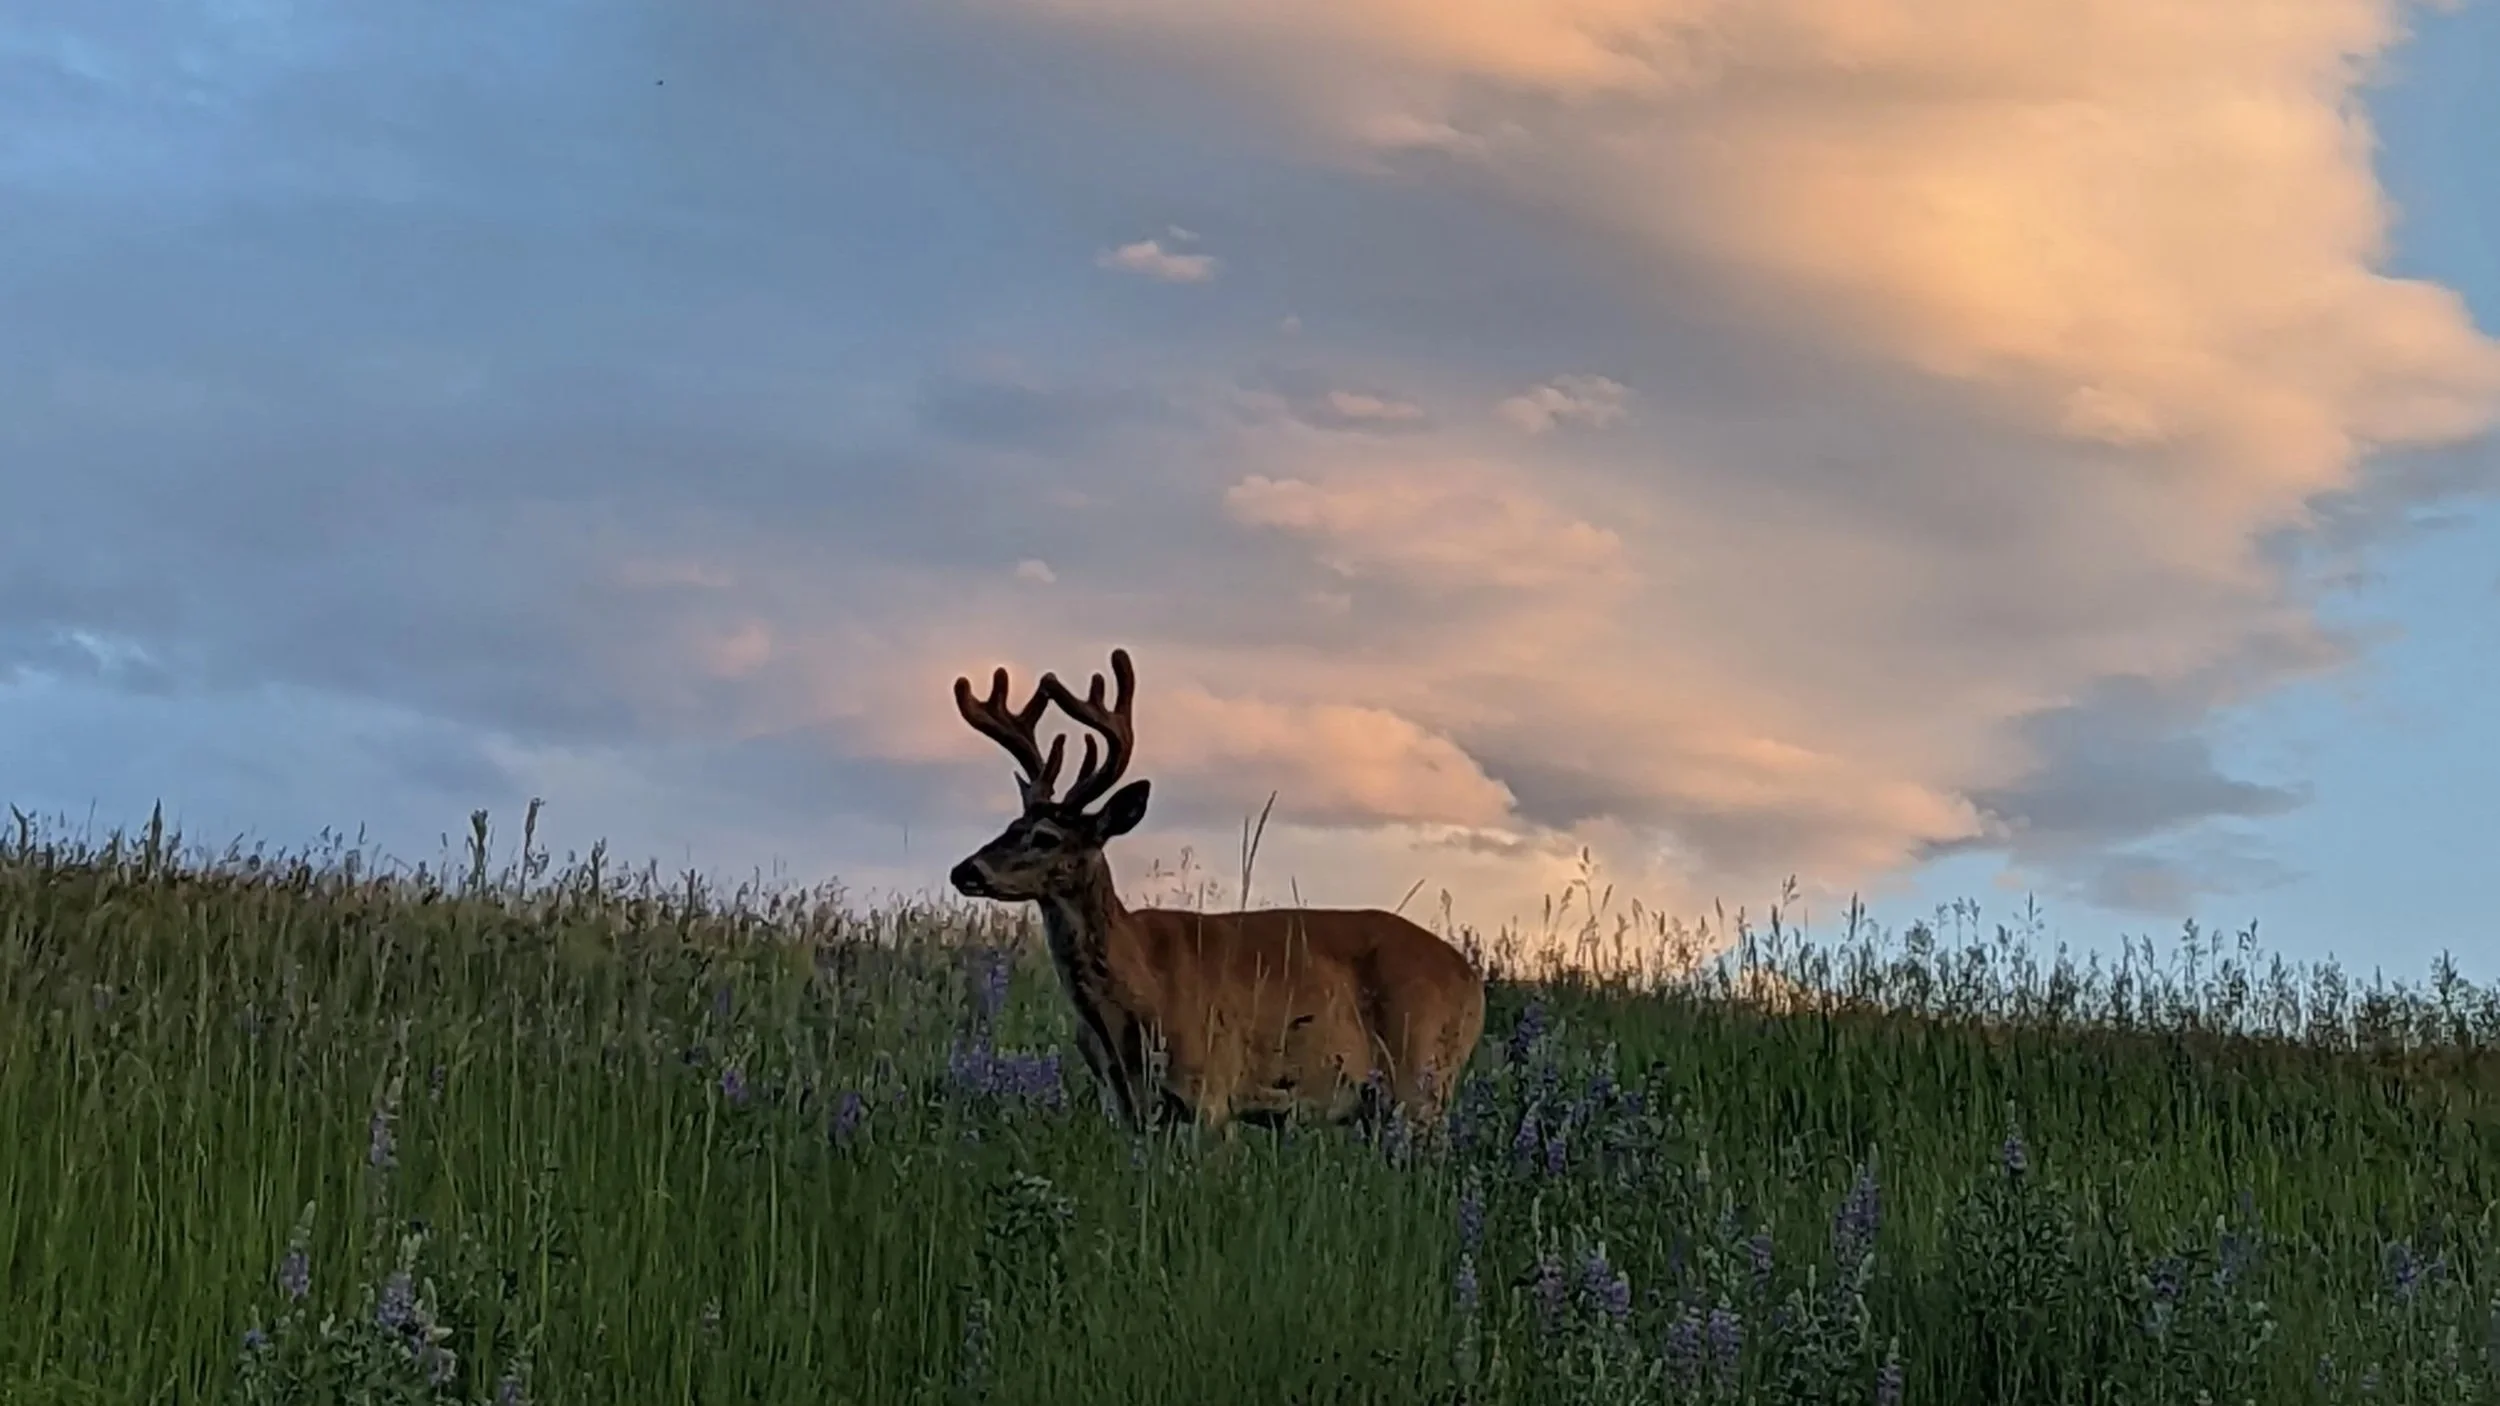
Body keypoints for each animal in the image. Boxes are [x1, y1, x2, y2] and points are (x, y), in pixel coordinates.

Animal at [946, 647, 1488, 1136]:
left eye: (1045, 837)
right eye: (1011, 825)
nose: (964, 870)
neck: (1135, 993)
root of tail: (1472, 980)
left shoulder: (1210, 1089)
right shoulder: (1128, 1102)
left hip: (1422, 1081)